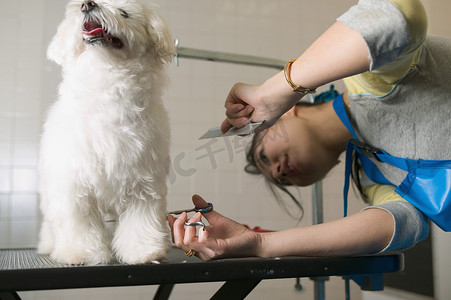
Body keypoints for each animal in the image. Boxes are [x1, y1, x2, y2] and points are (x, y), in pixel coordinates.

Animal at [38, 0, 175, 264]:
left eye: (124, 13)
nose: (88, 4)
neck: (106, 78)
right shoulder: (74, 185)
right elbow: (78, 223)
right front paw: (79, 252)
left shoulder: (144, 181)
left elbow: (140, 221)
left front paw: (143, 251)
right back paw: (48, 246)